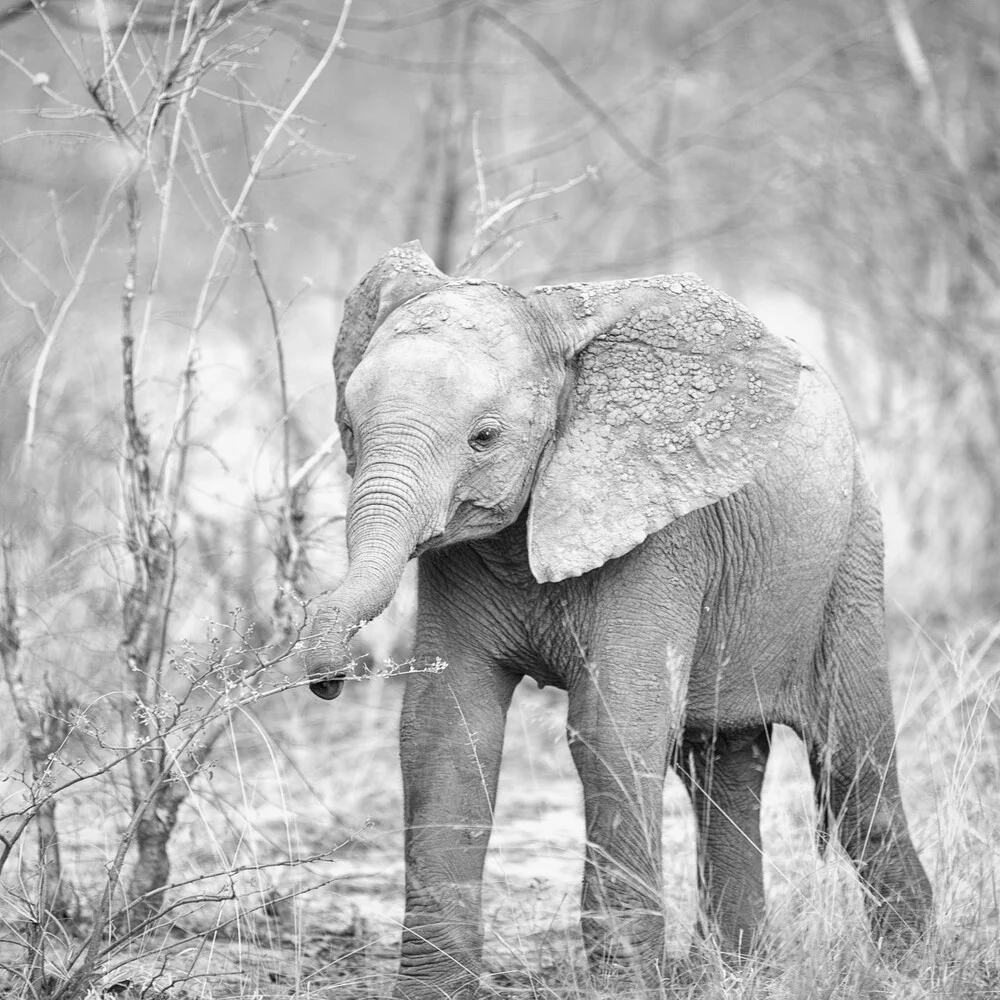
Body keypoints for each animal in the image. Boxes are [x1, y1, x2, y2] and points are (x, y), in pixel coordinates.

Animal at [302, 242, 928, 1000]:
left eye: (484, 438)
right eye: (348, 428)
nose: (330, 677)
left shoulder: (662, 533)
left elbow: (612, 728)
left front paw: (625, 984)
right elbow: (445, 729)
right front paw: (431, 992)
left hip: (851, 553)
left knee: (853, 762)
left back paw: (912, 969)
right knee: (721, 764)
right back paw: (737, 973)